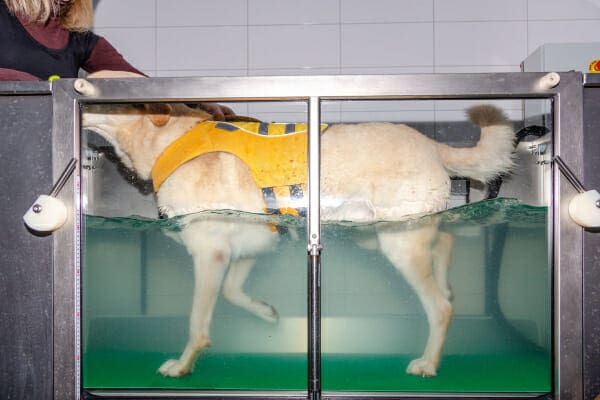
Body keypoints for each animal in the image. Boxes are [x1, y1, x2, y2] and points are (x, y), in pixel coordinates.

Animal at [82, 75, 512, 378]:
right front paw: (268, 313)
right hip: (377, 234)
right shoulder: (249, 246)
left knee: (440, 306)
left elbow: (197, 322)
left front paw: (184, 364)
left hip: (396, 243)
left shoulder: (210, 252)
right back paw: (447, 282)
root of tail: (431, 143)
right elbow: (234, 293)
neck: (168, 140)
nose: (73, 82)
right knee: (446, 240)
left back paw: (428, 361)